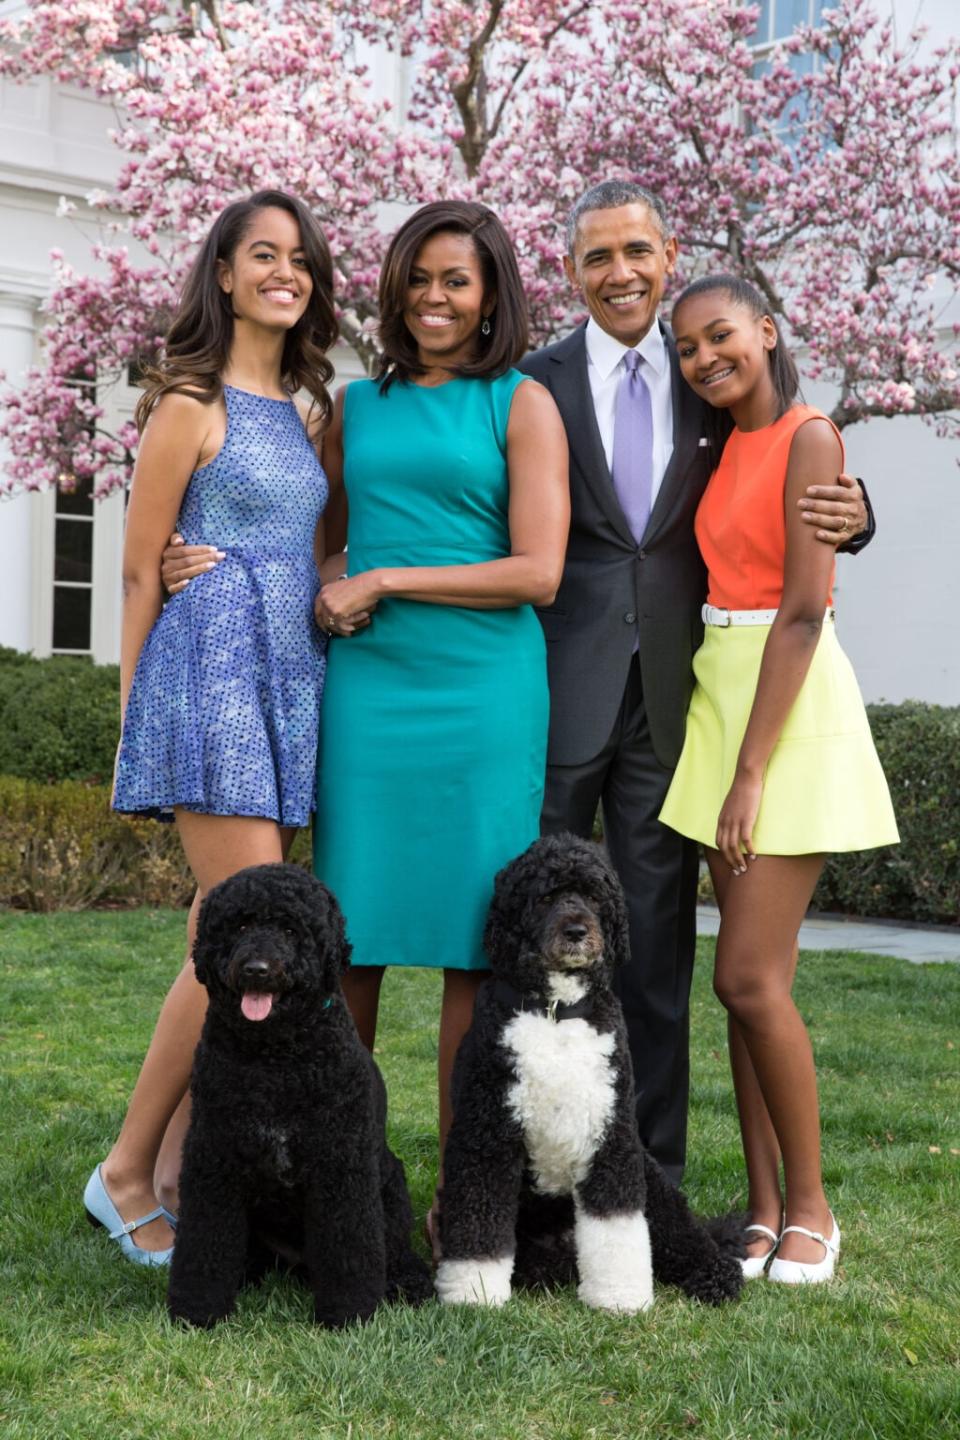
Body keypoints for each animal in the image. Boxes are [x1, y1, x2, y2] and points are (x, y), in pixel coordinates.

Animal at [168, 858, 431, 1330]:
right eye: (240, 925)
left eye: (291, 930)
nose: (256, 968)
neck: (275, 1061)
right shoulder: (214, 1157)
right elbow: (205, 1241)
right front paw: (198, 1308)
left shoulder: (340, 1164)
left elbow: (349, 1248)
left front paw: (349, 1312)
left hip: (389, 1183)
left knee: (395, 1248)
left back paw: (409, 1283)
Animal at [434, 835, 742, 1319]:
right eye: (545, 897)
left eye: (595, 897)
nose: (577, 931)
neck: (557, 1012)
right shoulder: (486, 1136)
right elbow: (479, 1223)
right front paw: (475, 1293)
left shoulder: (611, 1137)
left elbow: (616, 1226)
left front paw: (619, 1296)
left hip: (653, 1181)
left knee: (687, 1236)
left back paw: (716, 1274)